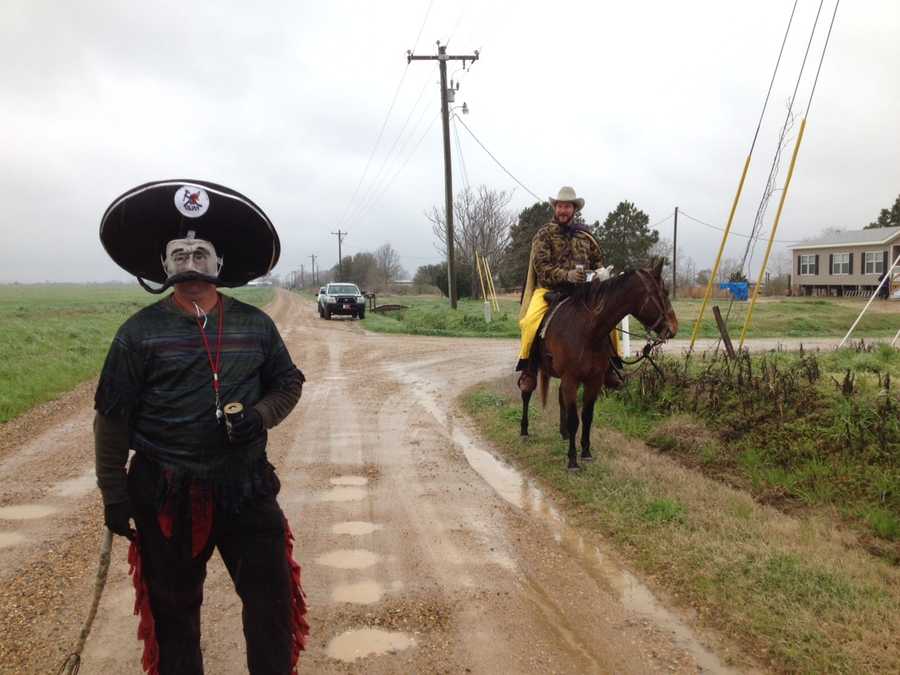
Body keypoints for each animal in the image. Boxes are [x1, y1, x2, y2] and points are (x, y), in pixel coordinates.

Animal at [520, 258, 676, 470]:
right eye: (665, 292)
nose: (673, 328)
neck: (589, 330)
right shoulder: (572, 379)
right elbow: (574, 419)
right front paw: (572, 460)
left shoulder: (594, 380)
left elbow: (587, 416)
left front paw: (586, 452)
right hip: (535, 369)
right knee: (526, 393)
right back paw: (524, 430)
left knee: (560, 397)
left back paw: (563, 433)